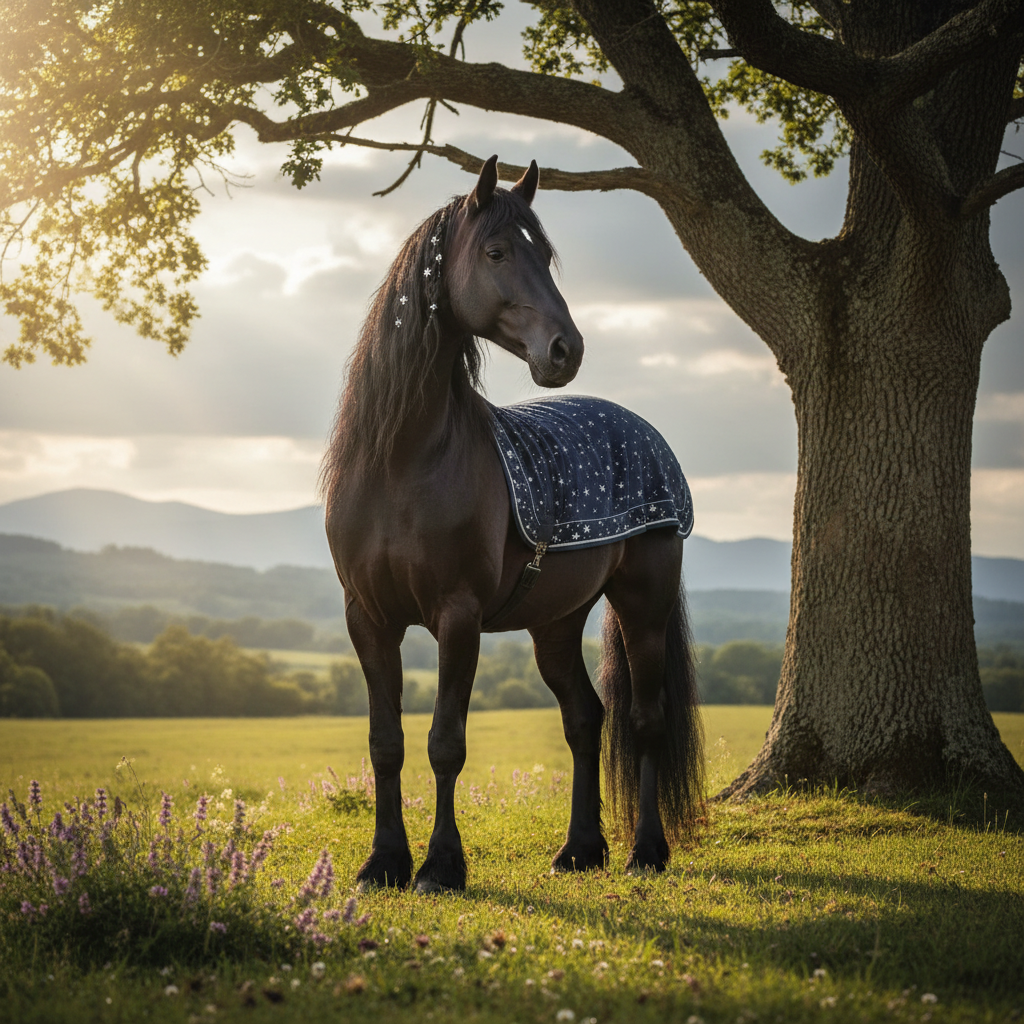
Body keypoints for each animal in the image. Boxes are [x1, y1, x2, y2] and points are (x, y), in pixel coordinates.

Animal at [321, 155, 704, 893]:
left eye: (546, 257)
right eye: (497, 252)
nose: (566, 350)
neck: (402, 458)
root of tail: (647, 434)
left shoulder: (457, 616)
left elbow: (446, 742)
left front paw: (440, 867)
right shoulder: (368, 617)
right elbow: (387, 744)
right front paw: (382, 863)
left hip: (642, 605)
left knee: (644, 719)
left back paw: (646, 850)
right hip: (555, 623)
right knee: (584, 717)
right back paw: (579, 850)